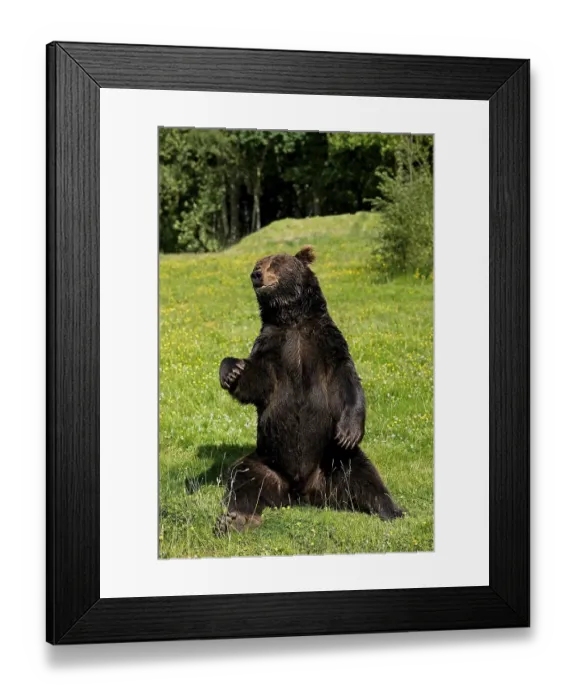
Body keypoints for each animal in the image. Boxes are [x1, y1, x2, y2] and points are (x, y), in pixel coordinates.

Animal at [216, 245, 403, 534]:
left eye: (275, 262)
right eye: (259, 262)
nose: (256, 274)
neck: (293, 321)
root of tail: (301, 492)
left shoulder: (325, 344)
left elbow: (347, 381)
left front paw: (349, 431)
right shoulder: (273, 347)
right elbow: (257, 381)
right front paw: (232, 370)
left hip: (333, 458)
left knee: (364, 474)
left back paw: (392, 510)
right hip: (267, 462)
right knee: (243, 478)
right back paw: (237, 518)